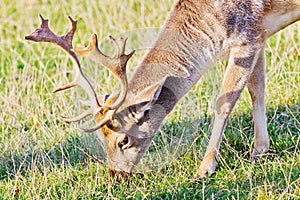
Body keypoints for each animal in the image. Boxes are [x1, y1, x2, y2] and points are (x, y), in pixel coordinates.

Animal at [25, 0, 300, 178]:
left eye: (124, 140)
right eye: (101, 139)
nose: (115, 174)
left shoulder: (247, 36)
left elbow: (225, 101)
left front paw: (205, 168)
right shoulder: (260, 34)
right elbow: (257, 90)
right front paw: (260, 150)